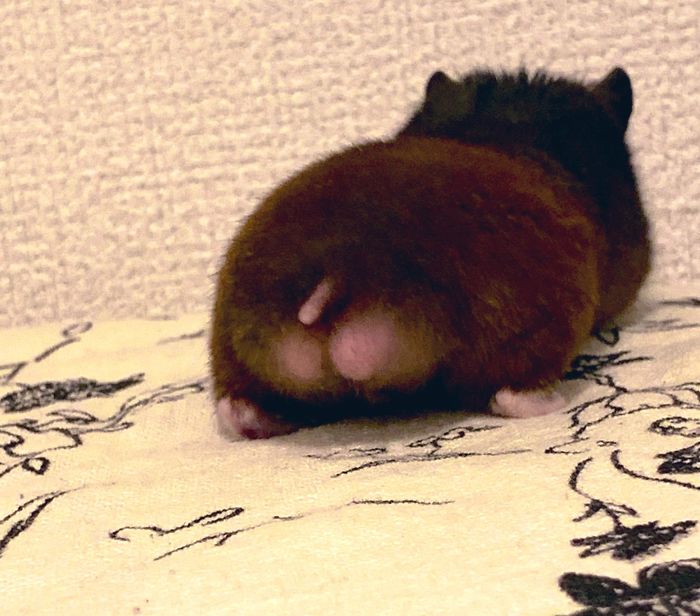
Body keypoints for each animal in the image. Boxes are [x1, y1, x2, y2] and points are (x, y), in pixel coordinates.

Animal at [210, 67, 651, 439]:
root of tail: (335, 269)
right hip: (537, 328)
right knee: (509, 394)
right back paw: (559, 400)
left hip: (235, 348)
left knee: (238, 409)